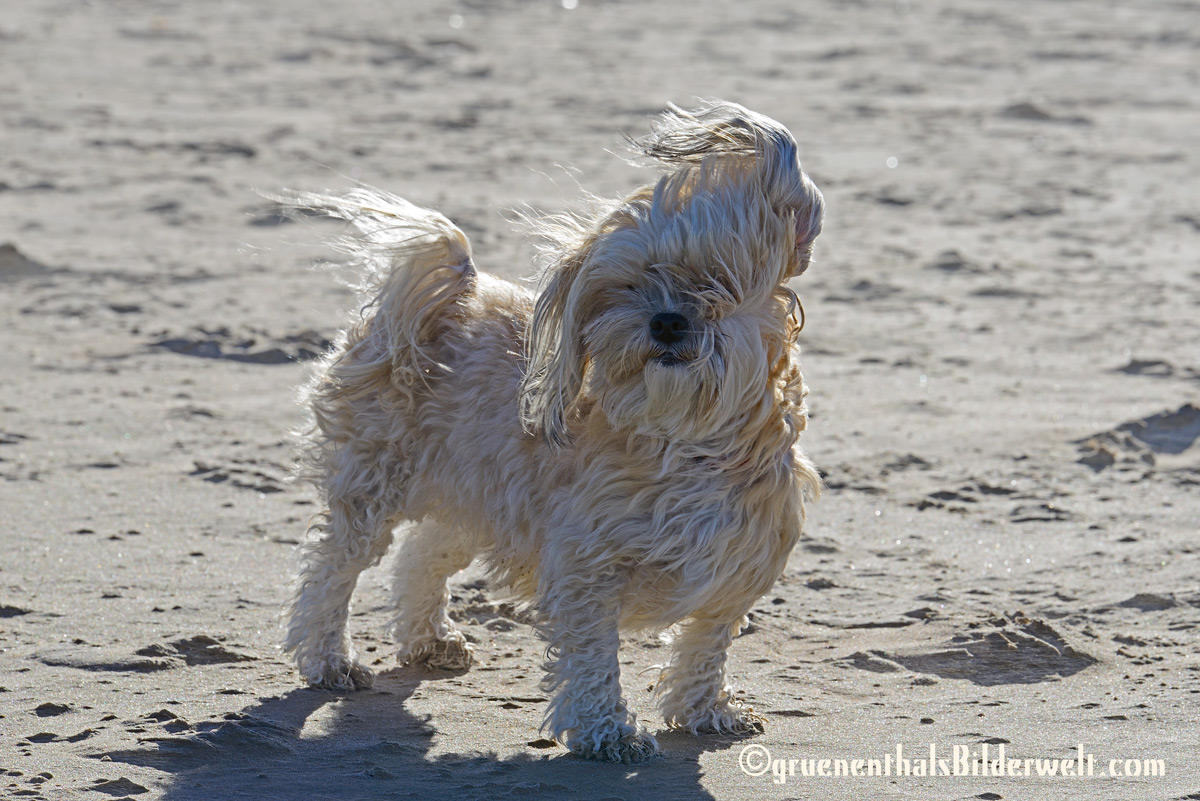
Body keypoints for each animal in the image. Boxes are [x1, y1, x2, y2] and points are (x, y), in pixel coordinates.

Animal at [280, 100, 825, 762]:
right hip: (374, 484)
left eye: (716, 279)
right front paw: (606, 732)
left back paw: (428, 638)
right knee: (332, 569)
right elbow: (593, 658)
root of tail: (445, 297)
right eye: (629, 285)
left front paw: (704, 711)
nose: (667, 321)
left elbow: (704, 646)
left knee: (423, 552)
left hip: (477, 491)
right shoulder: (586, 565)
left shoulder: (736, 567)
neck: (686, 440)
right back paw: (328, 659)